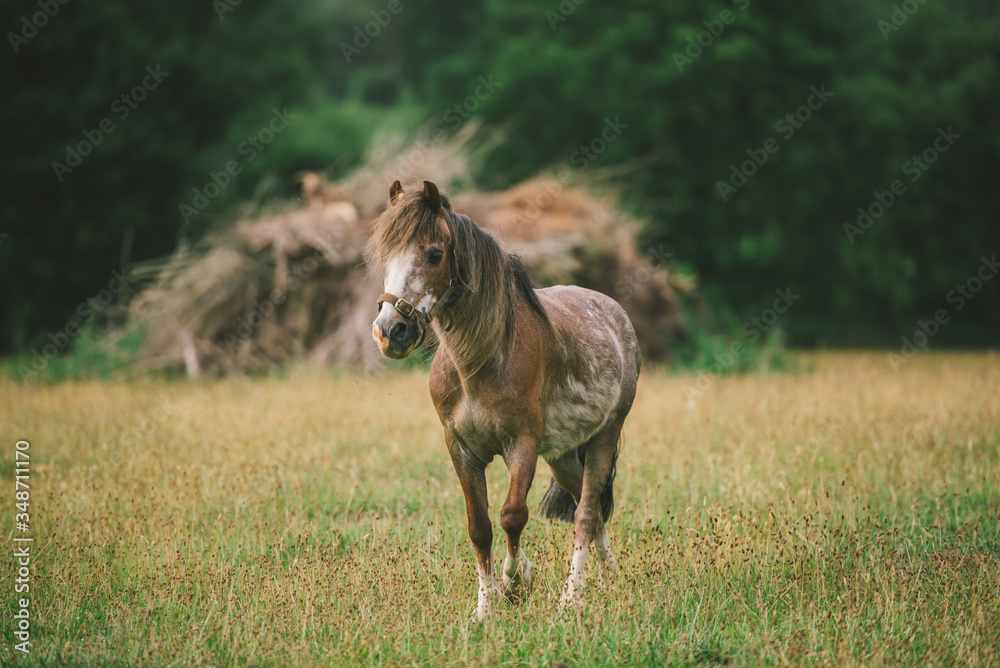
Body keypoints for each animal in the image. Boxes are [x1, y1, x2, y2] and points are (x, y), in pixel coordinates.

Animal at [366, 179, 641, 619]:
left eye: (434, 254)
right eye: (384, 256)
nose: (391, 331)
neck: (481, 361)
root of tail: (616, 315)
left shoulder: (522, 445)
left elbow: (513, 515)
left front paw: (516, 579)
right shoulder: (461, 449)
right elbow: (479, 527)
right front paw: (485, 607)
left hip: (604, 436)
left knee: (585, 512)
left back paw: (571, 595)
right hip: (562, 455)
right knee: (592, 508)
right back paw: (609, 577)